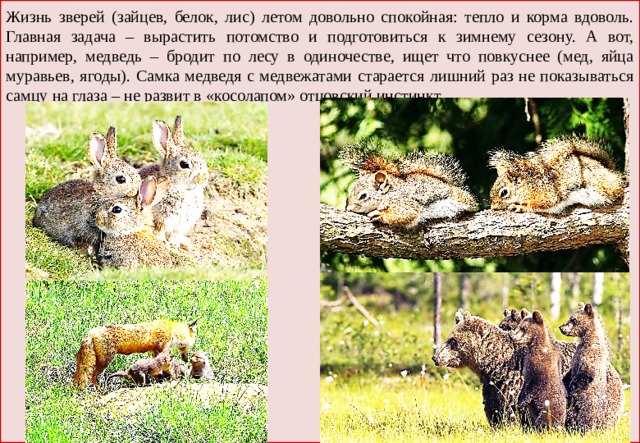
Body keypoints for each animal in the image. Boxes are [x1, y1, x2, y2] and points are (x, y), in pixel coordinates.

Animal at [559, 302, 625, 431]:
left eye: (574, 320)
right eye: (570, 318)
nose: (561, 327)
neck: (588, 339)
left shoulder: (591, 358)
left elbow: (585, 375)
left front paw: (571, 388)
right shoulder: (577, 357)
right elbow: (571, 372)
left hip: (590, 406)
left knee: (585, 417)